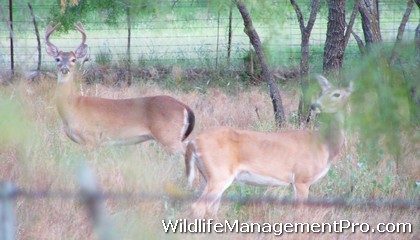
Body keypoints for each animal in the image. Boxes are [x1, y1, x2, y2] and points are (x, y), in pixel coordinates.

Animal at [46, 23, 195, 154]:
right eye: (57, 59)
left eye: (73, 59)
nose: (65, 69)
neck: (74, 106)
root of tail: (184, 106)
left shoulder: (91, 139)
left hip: (169, 137)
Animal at [185, 75, 352, 218]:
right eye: (323, 91)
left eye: (337, 94)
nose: (314, 105)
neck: (325, 145)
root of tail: (193, 142)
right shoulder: (302, 178)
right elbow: (300, 213)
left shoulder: (294, 182)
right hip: (219, 173)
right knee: (197, 206)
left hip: (210, 176)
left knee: (212, 208)